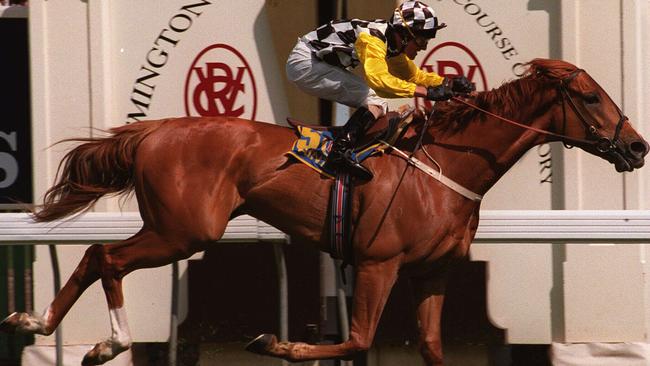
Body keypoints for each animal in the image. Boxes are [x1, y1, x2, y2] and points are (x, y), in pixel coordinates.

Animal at [1, 58, 648, 364]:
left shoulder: (432, 271)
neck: (447, 164)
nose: (638, 146)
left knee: (93, 254)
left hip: (171, 227)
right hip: (184, 231)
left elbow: (433, 348)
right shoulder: (378, 262)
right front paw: (276, 344)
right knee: (106, 256)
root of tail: (153, 131)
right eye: (590, 97)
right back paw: (108, 343)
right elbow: (358, 340)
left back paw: (36, 322)